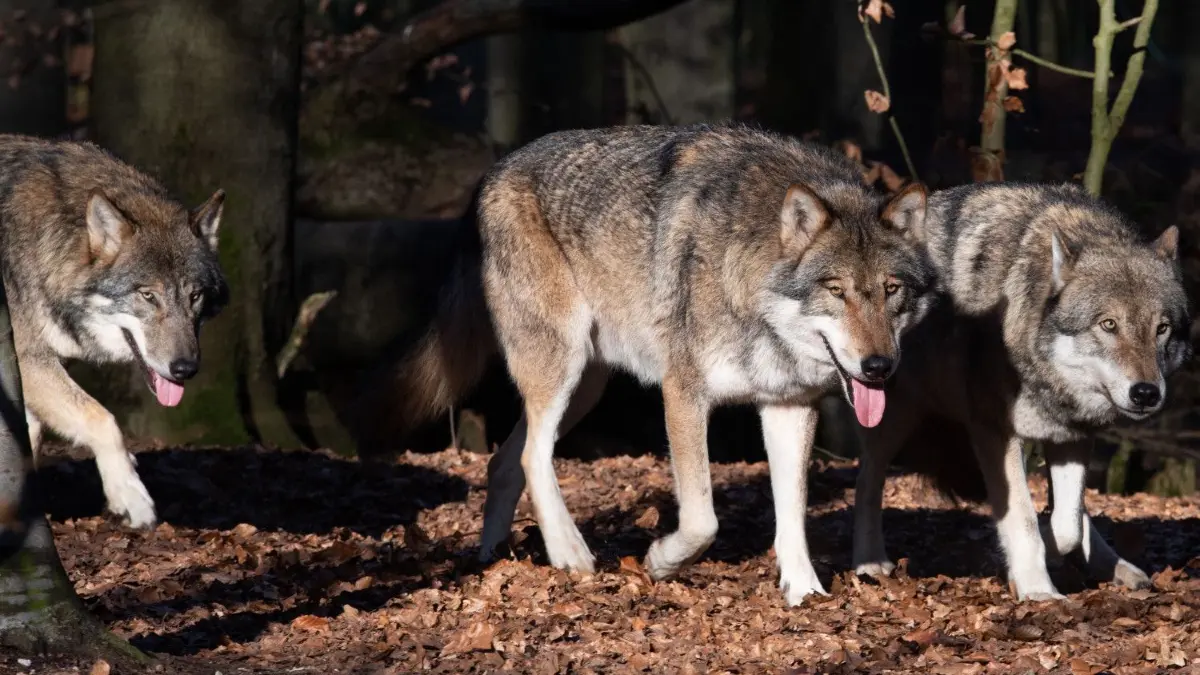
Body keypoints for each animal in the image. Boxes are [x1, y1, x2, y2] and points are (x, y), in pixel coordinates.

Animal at [0, 135, 228, 528]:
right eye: (148, 295)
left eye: (195, 296)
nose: (185, 369)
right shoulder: (28, 360)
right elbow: (102, 418)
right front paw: (129, 494)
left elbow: (30, 442)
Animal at [376, 122, 937, 605]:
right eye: (836, 291)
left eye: (892, 290)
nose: (878, 366)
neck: (752, 289)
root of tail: (491, 174)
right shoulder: (682, 394)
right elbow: (702, 520)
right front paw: (662, 562)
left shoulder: (789, 406)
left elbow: (792, 515)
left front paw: (805, 593)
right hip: (561, 369)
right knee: (533, 455)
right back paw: (570, 554)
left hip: (586, 389)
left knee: (504, 461)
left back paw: (491, 558)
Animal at [851, 182, 1191, 600]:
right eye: (1108, 324)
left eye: (1162, 329)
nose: (1146, 393)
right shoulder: (994, 432)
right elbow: (1024, 517)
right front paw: (1037, 588)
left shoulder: (1072, 434)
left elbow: (1067, 524)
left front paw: (1048, 552)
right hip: (894, 419)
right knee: (866, 482)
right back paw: (870, 563)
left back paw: (1117, 568)